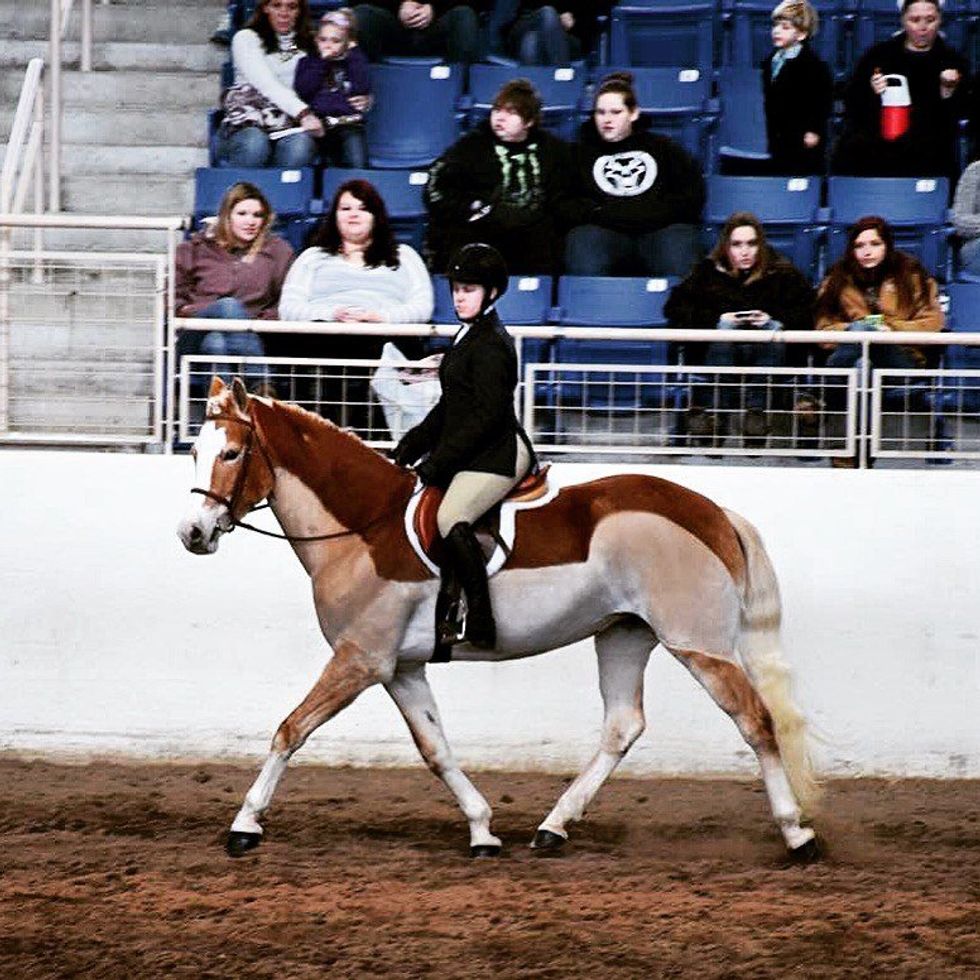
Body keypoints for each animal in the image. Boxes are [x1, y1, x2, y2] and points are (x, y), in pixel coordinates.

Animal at [177, 378, 821, 861]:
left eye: (231, 453)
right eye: (194, 453)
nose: (193, 534)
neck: (362, 528)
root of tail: (711, 512)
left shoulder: (360, 661)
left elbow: (291, 729)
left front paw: (245, 825)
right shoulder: (400, 669)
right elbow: (435, 749)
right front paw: (483, 830)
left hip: (698, 645)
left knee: (755, 720)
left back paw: (797, 834)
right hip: (623, 634)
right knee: (622, 726)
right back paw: (553, 827)